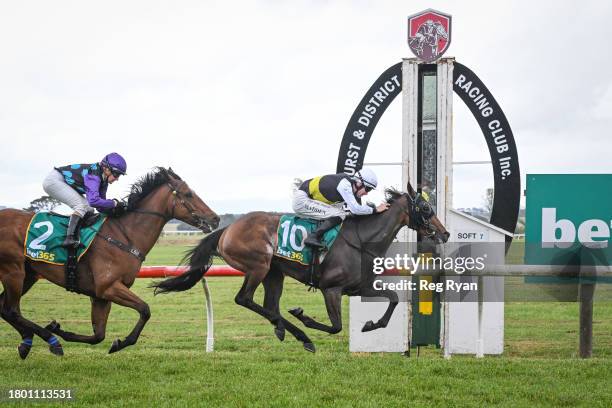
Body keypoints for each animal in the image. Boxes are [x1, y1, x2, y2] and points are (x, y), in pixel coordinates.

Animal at [0, 167, 219, 358]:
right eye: (188, 194)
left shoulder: (100, 296)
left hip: (28, 274)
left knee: (6, 309)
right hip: (13, 271)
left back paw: (28, 342)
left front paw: (63, 330)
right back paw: (50, 341)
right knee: (12, 310)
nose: (215, 218)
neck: (124, 235)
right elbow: (145, 310)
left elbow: (98, 335)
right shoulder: (109, 287)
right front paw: (121, 343)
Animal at [153, 183, 450, 352]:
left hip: (274, 273)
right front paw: (304, 317)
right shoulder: (331, 289)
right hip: (258, 266)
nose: (445, 233)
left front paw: (371, 324)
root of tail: (227, 229)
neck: (361, 240)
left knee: (270, 306)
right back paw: (298, 331)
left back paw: (285, 330)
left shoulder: (359, 287)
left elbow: (393, 299)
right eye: (425, 208)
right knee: (244, 299)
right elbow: (336, 326)